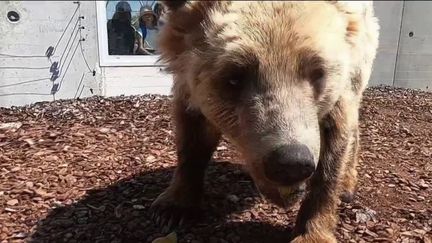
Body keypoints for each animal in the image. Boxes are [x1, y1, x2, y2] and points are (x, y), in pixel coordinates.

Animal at [150, 0, 380, 242]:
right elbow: (192, 139)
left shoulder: (342, 89)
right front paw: (172, 208)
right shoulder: (188, 86)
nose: (291, 161)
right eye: (234, 77)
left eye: (318, 72)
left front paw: (312, 232)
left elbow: (333, 151)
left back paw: (347, 186)